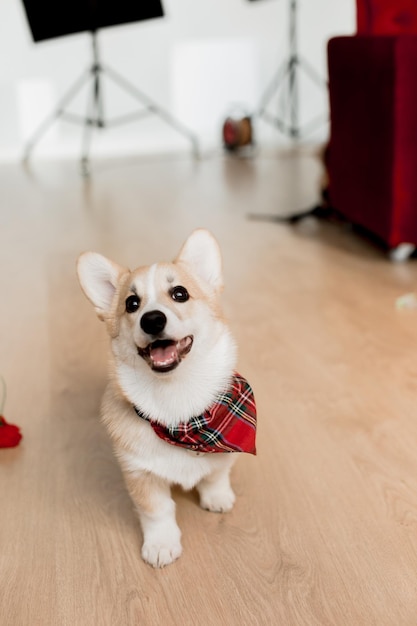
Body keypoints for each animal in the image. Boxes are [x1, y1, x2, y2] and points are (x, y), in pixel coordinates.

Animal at [76, 229, 255, 564]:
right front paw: (160, 545)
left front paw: (217, 497)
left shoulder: (225, 450)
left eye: (180, 294)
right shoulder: (139, 473)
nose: (152, 320)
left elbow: (216, 474)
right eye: (131, 303)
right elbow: (157, 511)